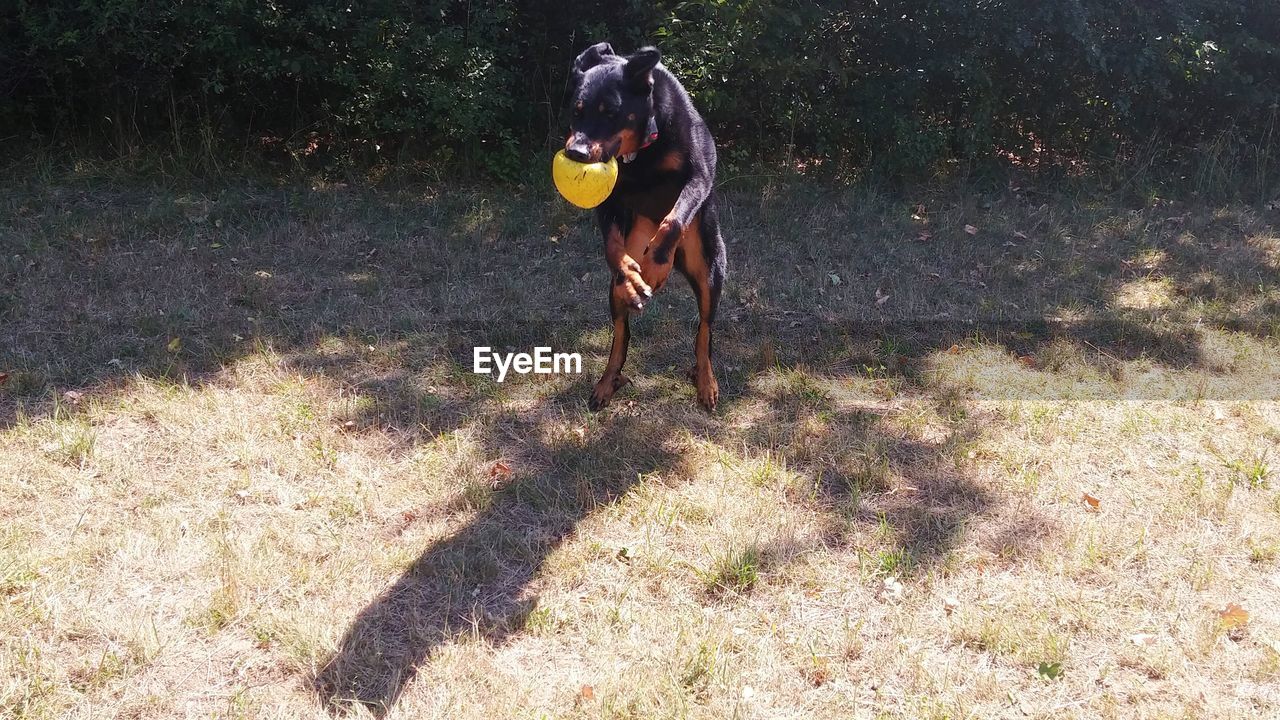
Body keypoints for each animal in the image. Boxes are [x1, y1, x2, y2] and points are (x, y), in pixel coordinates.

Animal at [563, 43, 727, 409]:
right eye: (576, 110)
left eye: (611, 111)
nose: (575, 152)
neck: (640, 155)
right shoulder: (609, 199)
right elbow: (612, 246)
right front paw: (634, 275)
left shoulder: (699, 175)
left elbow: (672, 220)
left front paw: (656, 265)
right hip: (615, 291)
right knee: (621, 334)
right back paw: (609, 379)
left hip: (711, 269)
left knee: (705, 331)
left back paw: (705, 379)